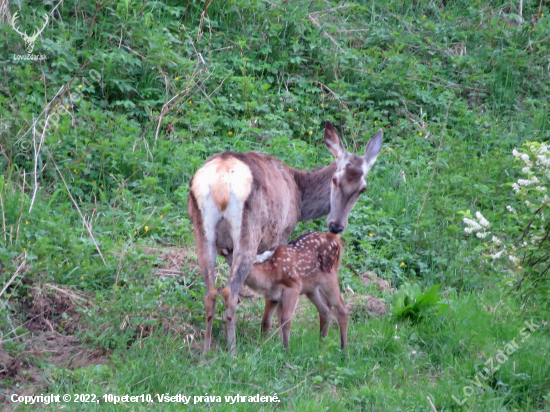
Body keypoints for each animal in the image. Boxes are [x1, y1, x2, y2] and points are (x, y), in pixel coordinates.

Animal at [188, 120, 382, 354]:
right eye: (335, 179)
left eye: (362, 188)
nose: (336, 225)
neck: (299, 195)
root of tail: (220, 183)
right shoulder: (281, 234)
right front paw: (272, 341)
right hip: (248, 231)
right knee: (229, 292)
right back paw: (232, 351)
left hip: (202, 231)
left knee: (211, 292)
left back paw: (206, 351)